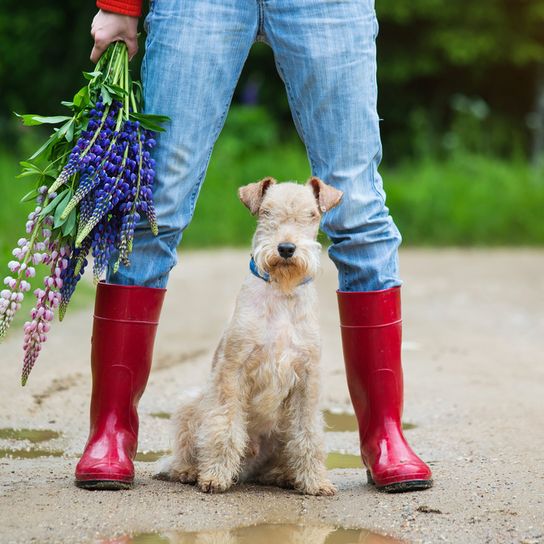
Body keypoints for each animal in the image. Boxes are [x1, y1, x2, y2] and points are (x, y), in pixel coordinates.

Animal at [157, 176, 342, 496]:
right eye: (266, 212)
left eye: (311, 215)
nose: (286, 248)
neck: (281, 292)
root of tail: (249, 466)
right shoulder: (234, 369)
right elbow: (226, 426)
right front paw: (214, 477)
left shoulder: (307, 376)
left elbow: (308, 433)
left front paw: (316, 482)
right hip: (190, 405)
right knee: (186, 448)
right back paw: (189, 471)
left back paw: (284, 475)